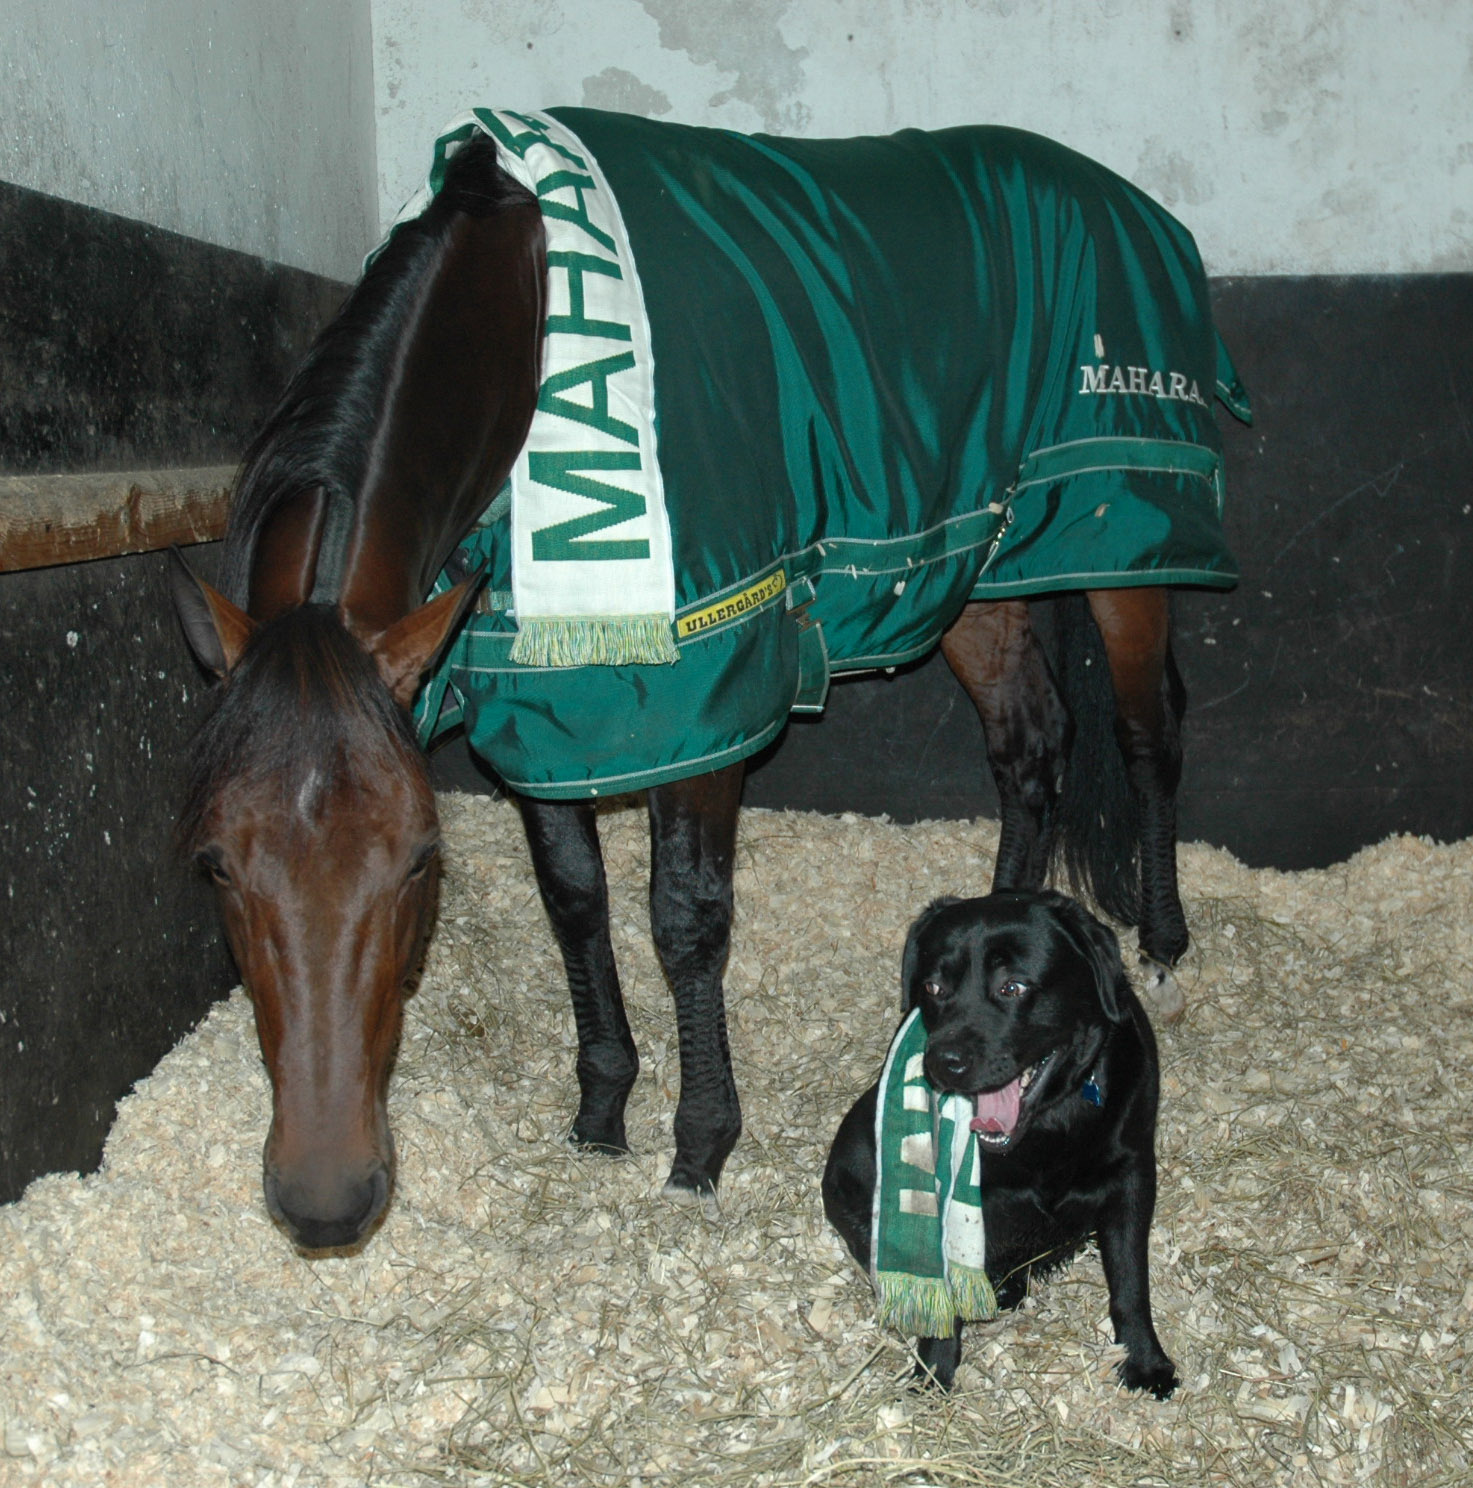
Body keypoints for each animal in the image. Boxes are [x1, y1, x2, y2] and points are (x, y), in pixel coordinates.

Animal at [170, 110, 1243, 1255]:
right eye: (215, 864)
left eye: (420, 860)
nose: (325, 1197)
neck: (526, 326)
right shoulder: (551, 715)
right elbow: (575, 903)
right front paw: (602, 1107)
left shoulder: (705, 705)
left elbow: (683, 925)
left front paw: (699, 1144)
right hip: (974, 569)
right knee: (1031, 747)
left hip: (1124, 530)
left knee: (1147, 732)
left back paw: (1163, 948)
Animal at [827, 886, 1184, 1398]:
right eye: (933, 988)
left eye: (1013, 987)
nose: (945, 1061)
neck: (1050, 1123)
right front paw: (934, 1371)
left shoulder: (1133, 1175)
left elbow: (1130, 1283)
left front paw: (1146, 1362)